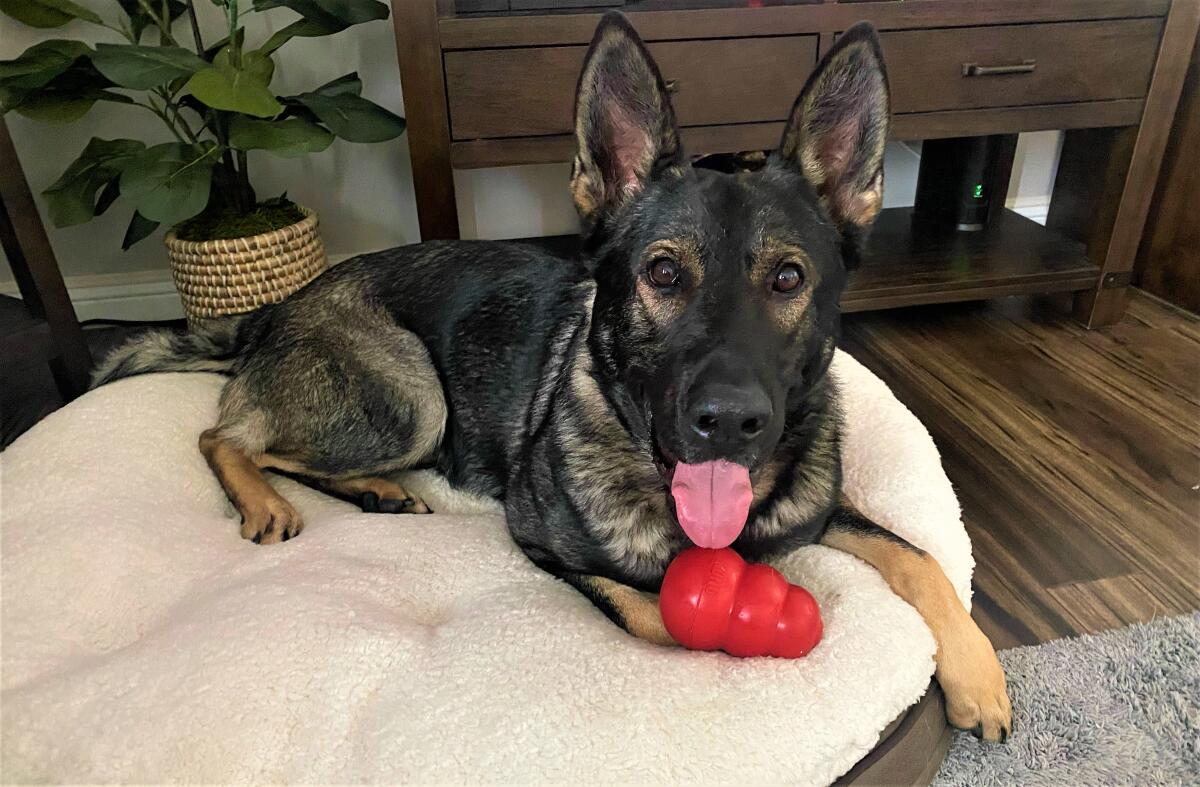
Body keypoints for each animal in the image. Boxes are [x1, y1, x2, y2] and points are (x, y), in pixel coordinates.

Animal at [96, 12, 1012, 739]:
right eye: (662, 273)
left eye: (788, 279)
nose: (729, 421)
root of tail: (280, 303)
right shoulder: (545, 540)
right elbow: (663, 617)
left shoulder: (823, 511)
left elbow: (920, 555)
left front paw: (980, 675)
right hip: (413, 398)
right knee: (224, 434)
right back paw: (268, 499)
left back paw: (375, 492)